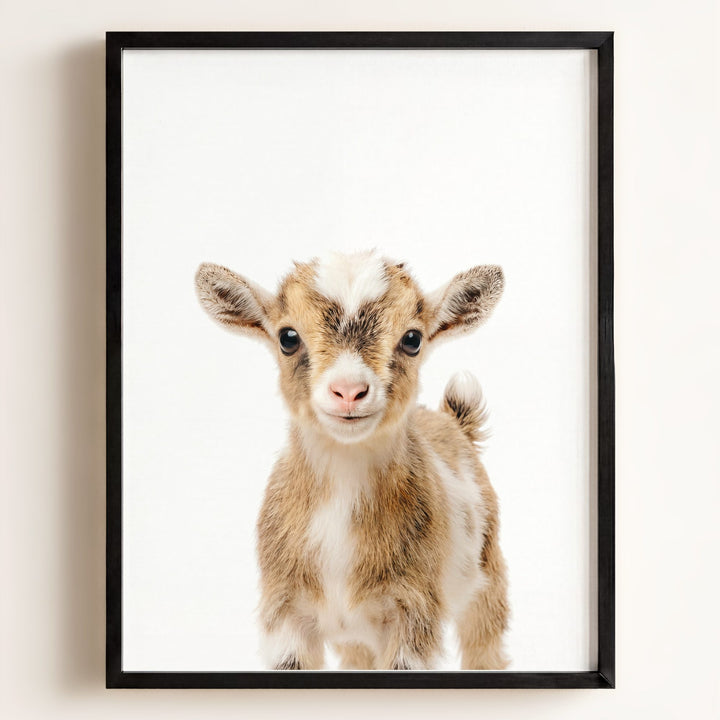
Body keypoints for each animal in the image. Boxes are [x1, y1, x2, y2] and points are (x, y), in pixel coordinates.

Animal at [195, 250, 509, 670]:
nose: (348, 391)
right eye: (288, 337)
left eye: (412, 339)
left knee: (485, 646)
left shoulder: (413, 612)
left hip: (488, 578)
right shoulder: (285, 613)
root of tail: (453, 420)